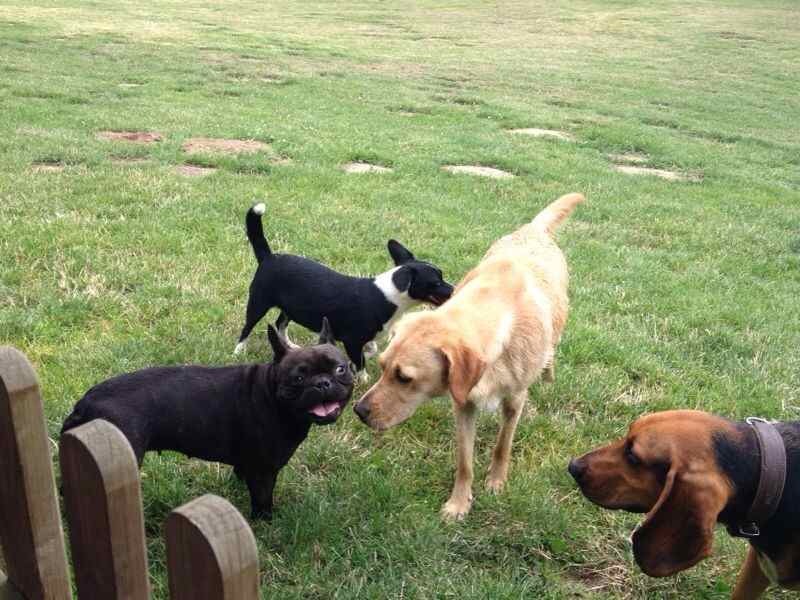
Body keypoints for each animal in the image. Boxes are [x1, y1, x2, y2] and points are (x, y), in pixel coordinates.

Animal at [234, 204, 454, 378]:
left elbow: (370, 349)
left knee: (281, 323)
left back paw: (290, 346)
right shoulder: (351, 340)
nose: (453, 289)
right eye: (435, 283)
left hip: (290, 307)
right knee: (247, 328)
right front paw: (362, 379)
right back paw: (239, 351)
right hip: (258, 303)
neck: (387, 296)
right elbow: (360, 362)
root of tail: (269, 257)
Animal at [354, 193, 584, 520]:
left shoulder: (514, 401)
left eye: (404, 378)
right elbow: (464, 462)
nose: (358, 411)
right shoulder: (462, 404)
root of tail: (533, 229)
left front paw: (496, 481)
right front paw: (459, 503)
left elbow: (503, 446)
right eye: (383, 367)